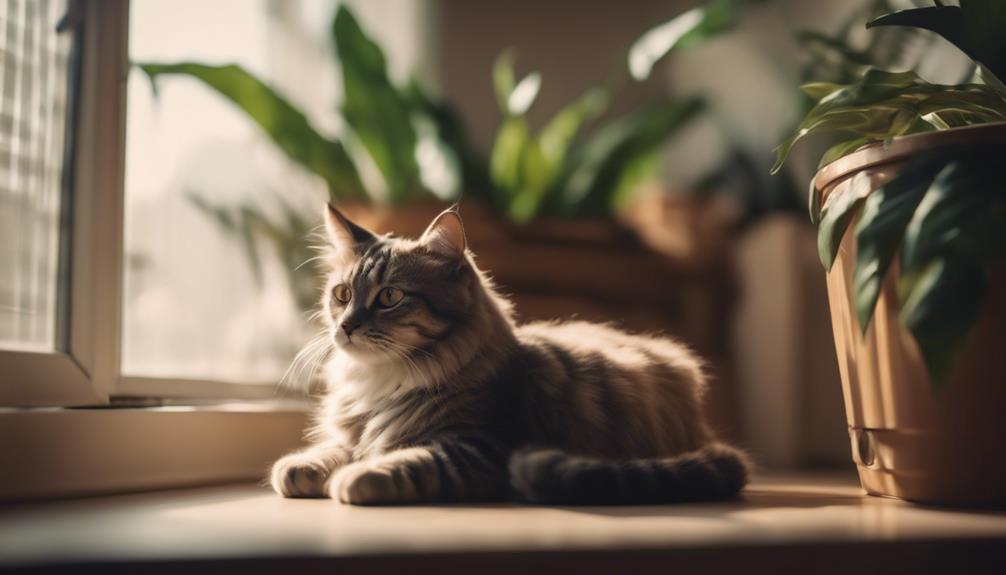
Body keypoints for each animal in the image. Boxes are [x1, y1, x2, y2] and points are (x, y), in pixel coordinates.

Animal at [271, 204, 752, 504]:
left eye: (389, 296)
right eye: (342, 294)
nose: (346, 326)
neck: (382, 382)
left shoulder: (480, 447)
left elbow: (407, 461)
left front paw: (352, 478)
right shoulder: (355, 432)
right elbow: (335, 448)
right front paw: (300, 468)